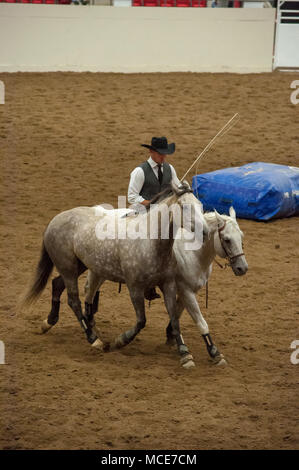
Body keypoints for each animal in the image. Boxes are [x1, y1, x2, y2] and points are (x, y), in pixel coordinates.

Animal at [166, 207, 248, 368]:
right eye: (227, 240)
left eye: (241, 236)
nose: (242, 268)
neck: (192, 253)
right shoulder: (186, 291)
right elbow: (201, 322)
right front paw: (213, 352)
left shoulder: (188, 291)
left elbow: (176, 314)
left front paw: (171, 335)